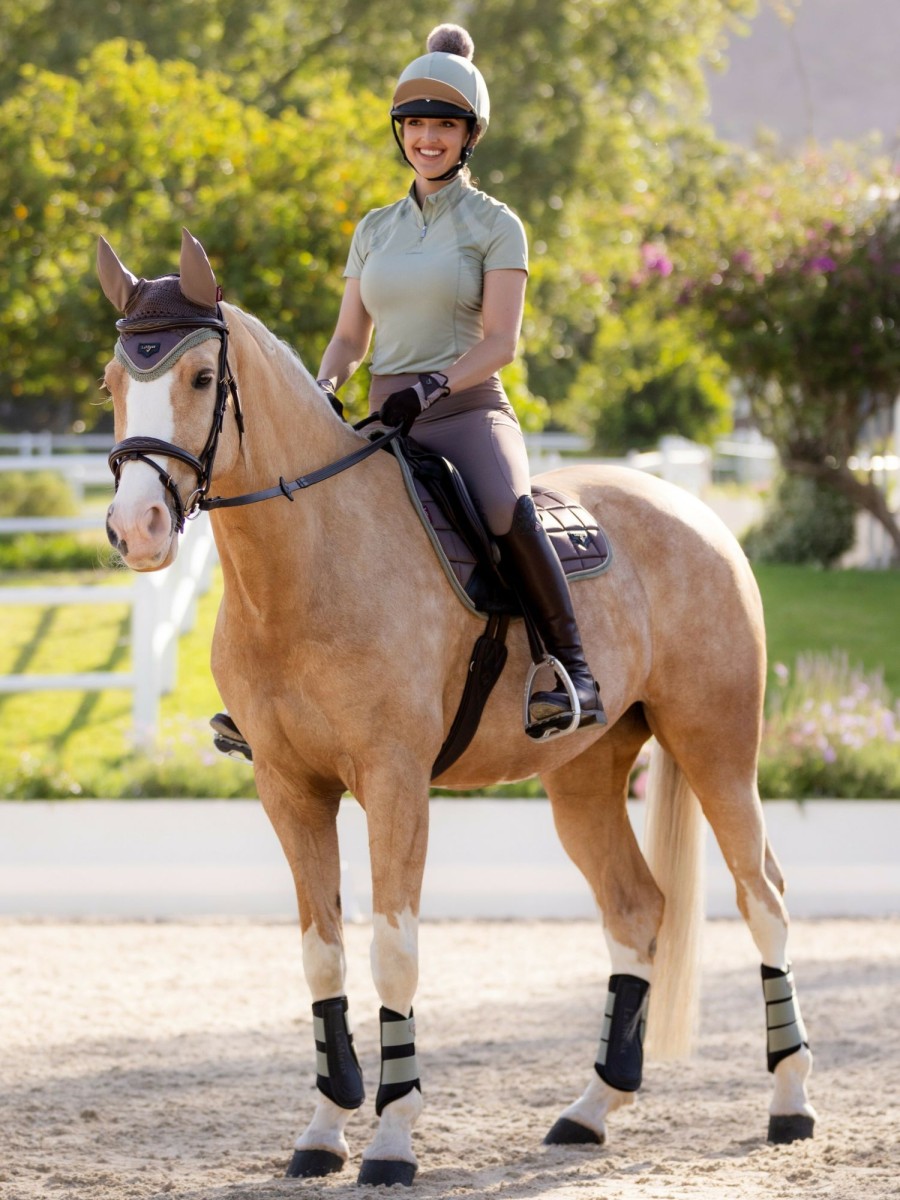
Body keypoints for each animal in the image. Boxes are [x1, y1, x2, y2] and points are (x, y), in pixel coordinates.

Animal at [98, 229, 816, 1185]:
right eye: (113, 379)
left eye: (202, 378)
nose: (135, 529)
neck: (311, 562)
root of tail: (690, 508)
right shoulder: (290, 789)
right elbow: (321, 953)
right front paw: (323, 1130)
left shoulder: (395, 783)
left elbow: (392, 951)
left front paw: (392, 1140)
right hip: (584, 775)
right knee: (635, 908)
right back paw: (591, 1109)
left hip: (717, 748)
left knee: (762, 894)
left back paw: (790, 1102)